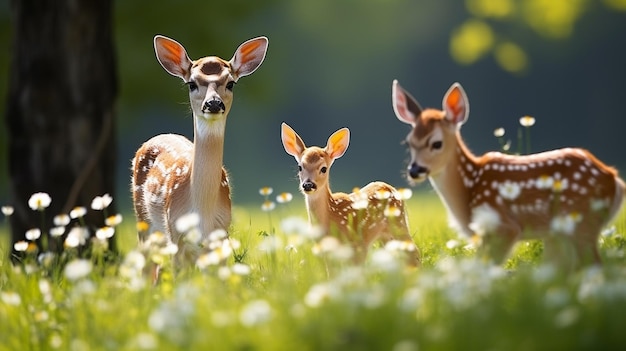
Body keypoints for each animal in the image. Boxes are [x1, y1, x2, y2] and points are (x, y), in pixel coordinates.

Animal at [130, 35, 266, 278]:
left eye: (230, 83)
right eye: (191, 83)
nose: (213, 103)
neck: (202, 212)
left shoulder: (221, 233)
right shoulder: (176, 231)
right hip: (144, 221)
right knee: (148, 267)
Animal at [280, 122, 420, 266]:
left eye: (323, 168)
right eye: (300, 167)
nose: (308, 184)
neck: (331, 216)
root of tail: (393, 189)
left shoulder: (358, 244)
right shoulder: (326, 252)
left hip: (398, 224)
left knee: (413, 252)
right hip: (385, 236)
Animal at [392, 80, 620, 270]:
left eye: (436, 143)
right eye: (409, 143)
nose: (415, 170)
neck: (469, 189)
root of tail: (614, 179)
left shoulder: (502, 226)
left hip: (581, 221)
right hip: (560, 233)